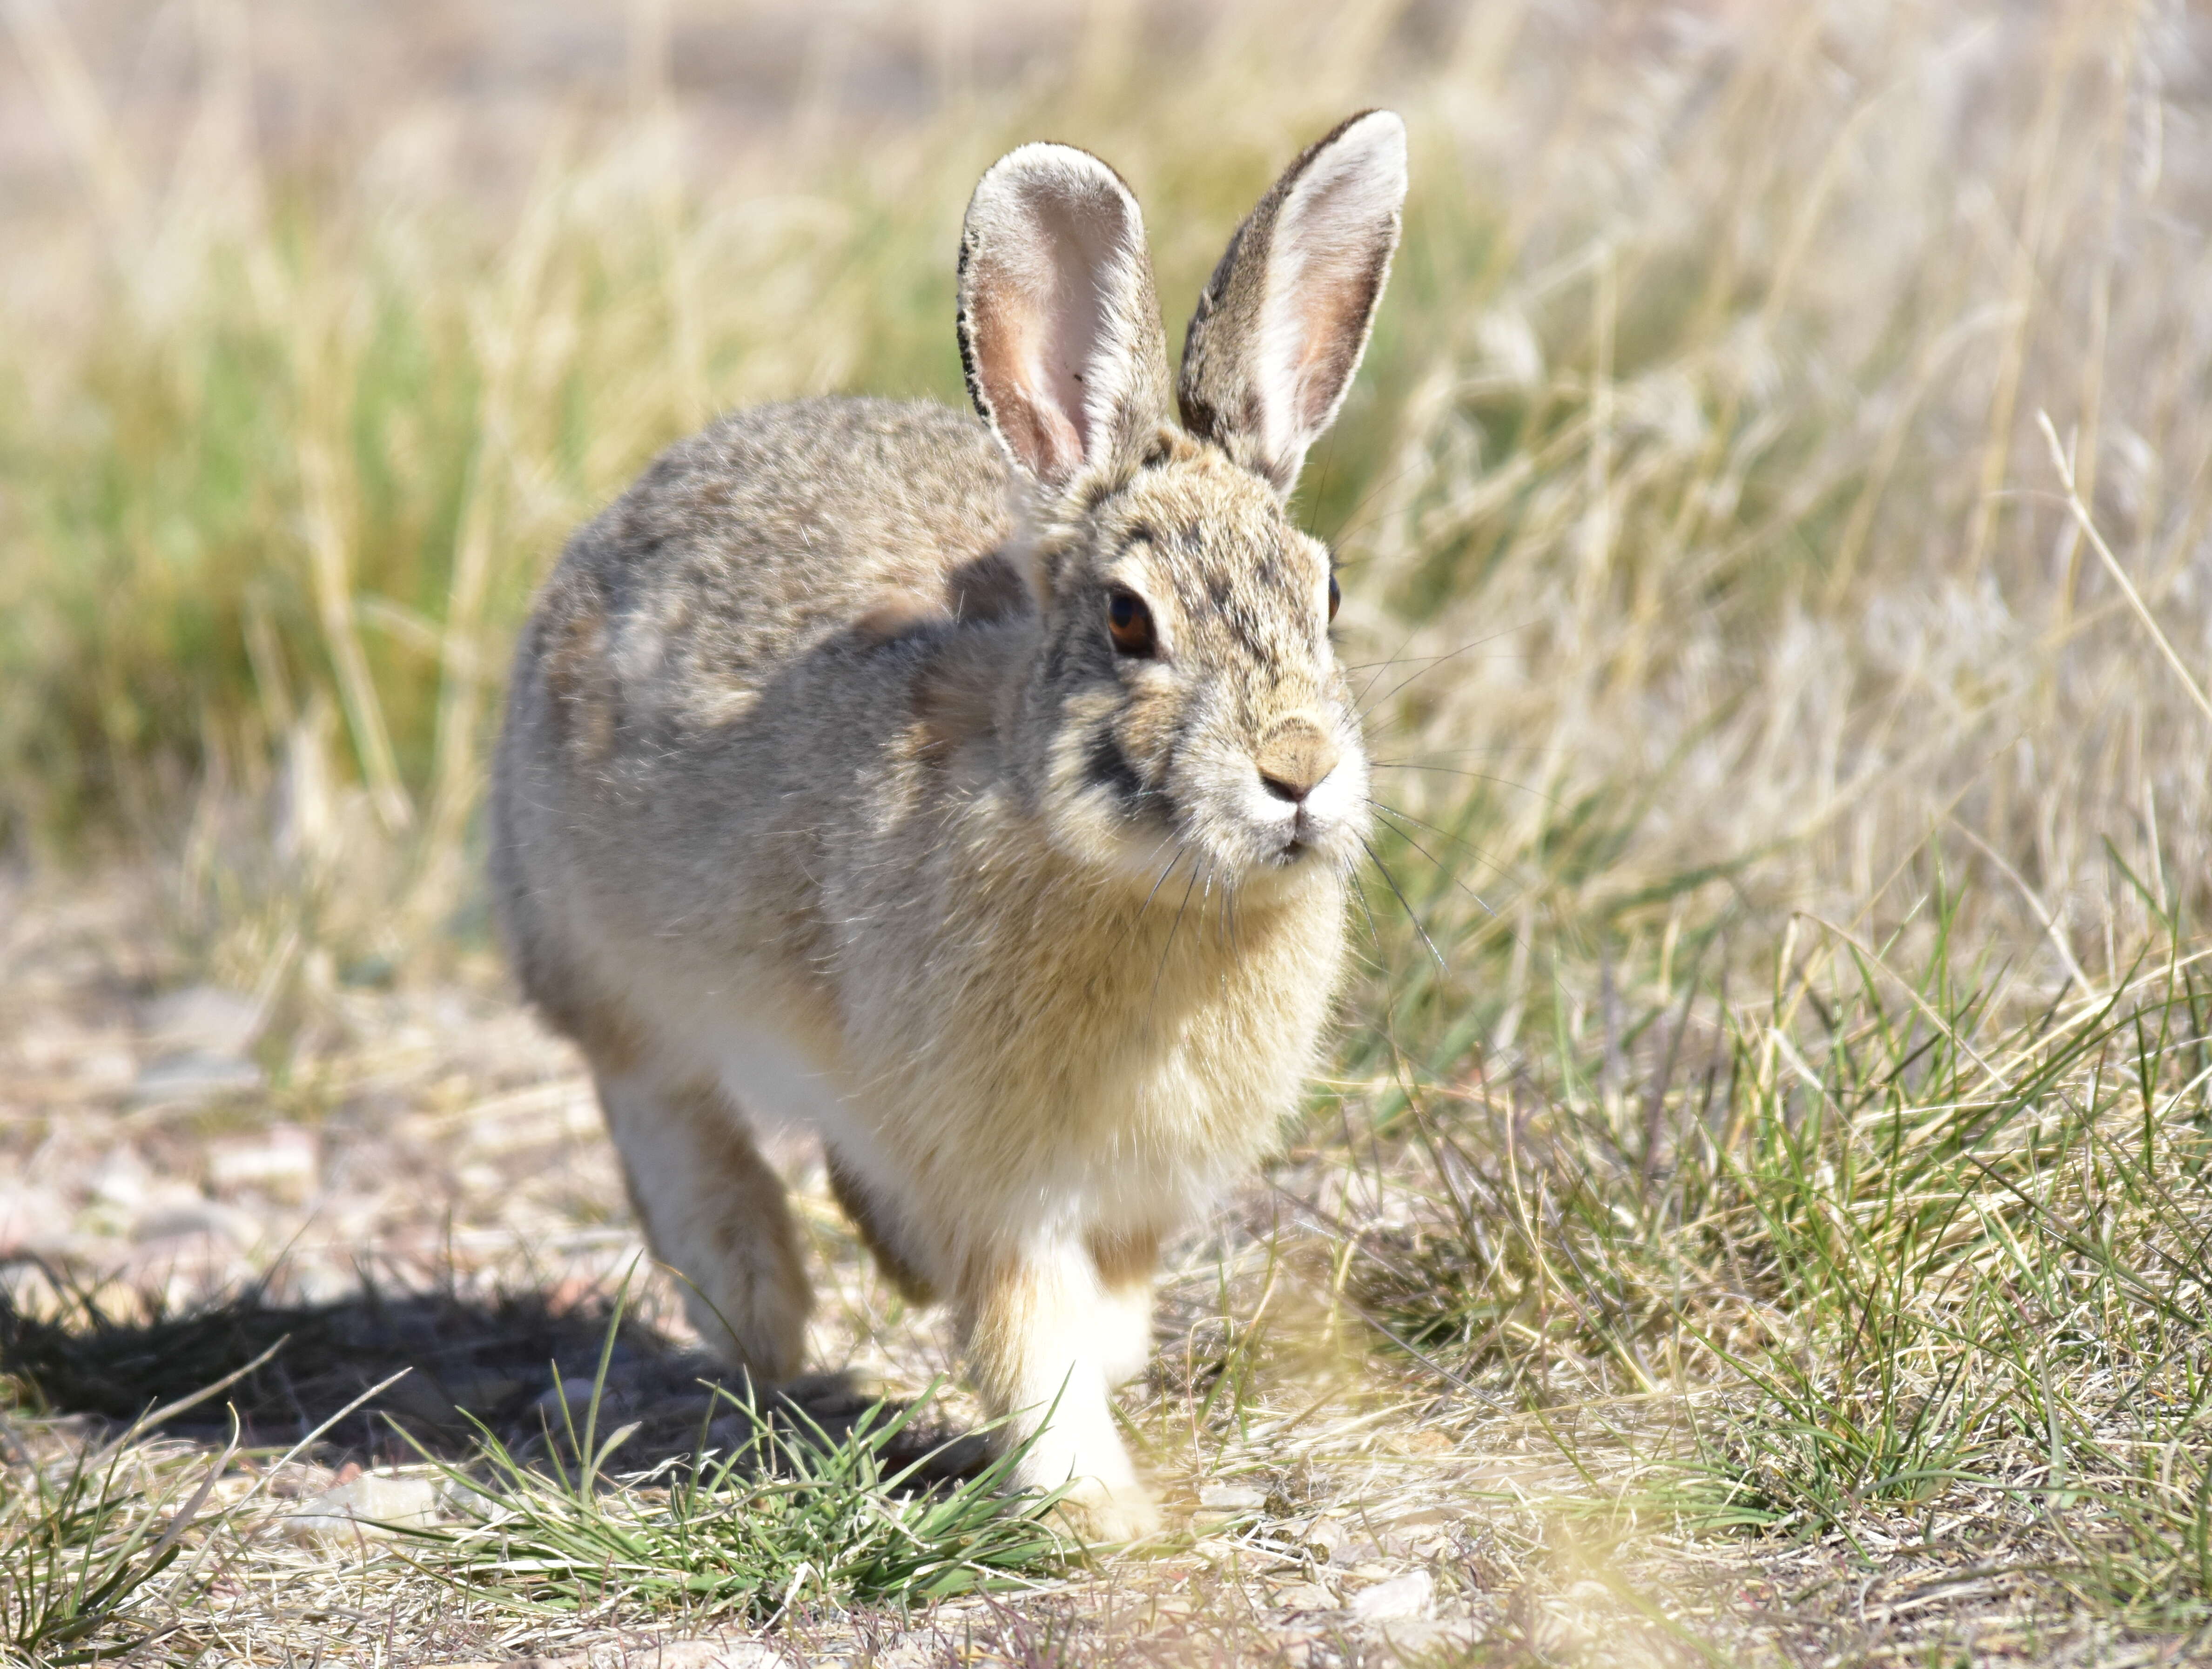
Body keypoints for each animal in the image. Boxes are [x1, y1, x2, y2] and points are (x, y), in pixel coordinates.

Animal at [493, 107, 1406, 1532]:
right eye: (1128, 620)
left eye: (1330, 592)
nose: (1299, 769)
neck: (1142, 887)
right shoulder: (997, 1182)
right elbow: (1030, 1336)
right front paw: (1104, 1517)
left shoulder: (1137, 1190)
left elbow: (1106, 1311)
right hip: (601, 953)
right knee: (666, 1105)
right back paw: (758, 1297)